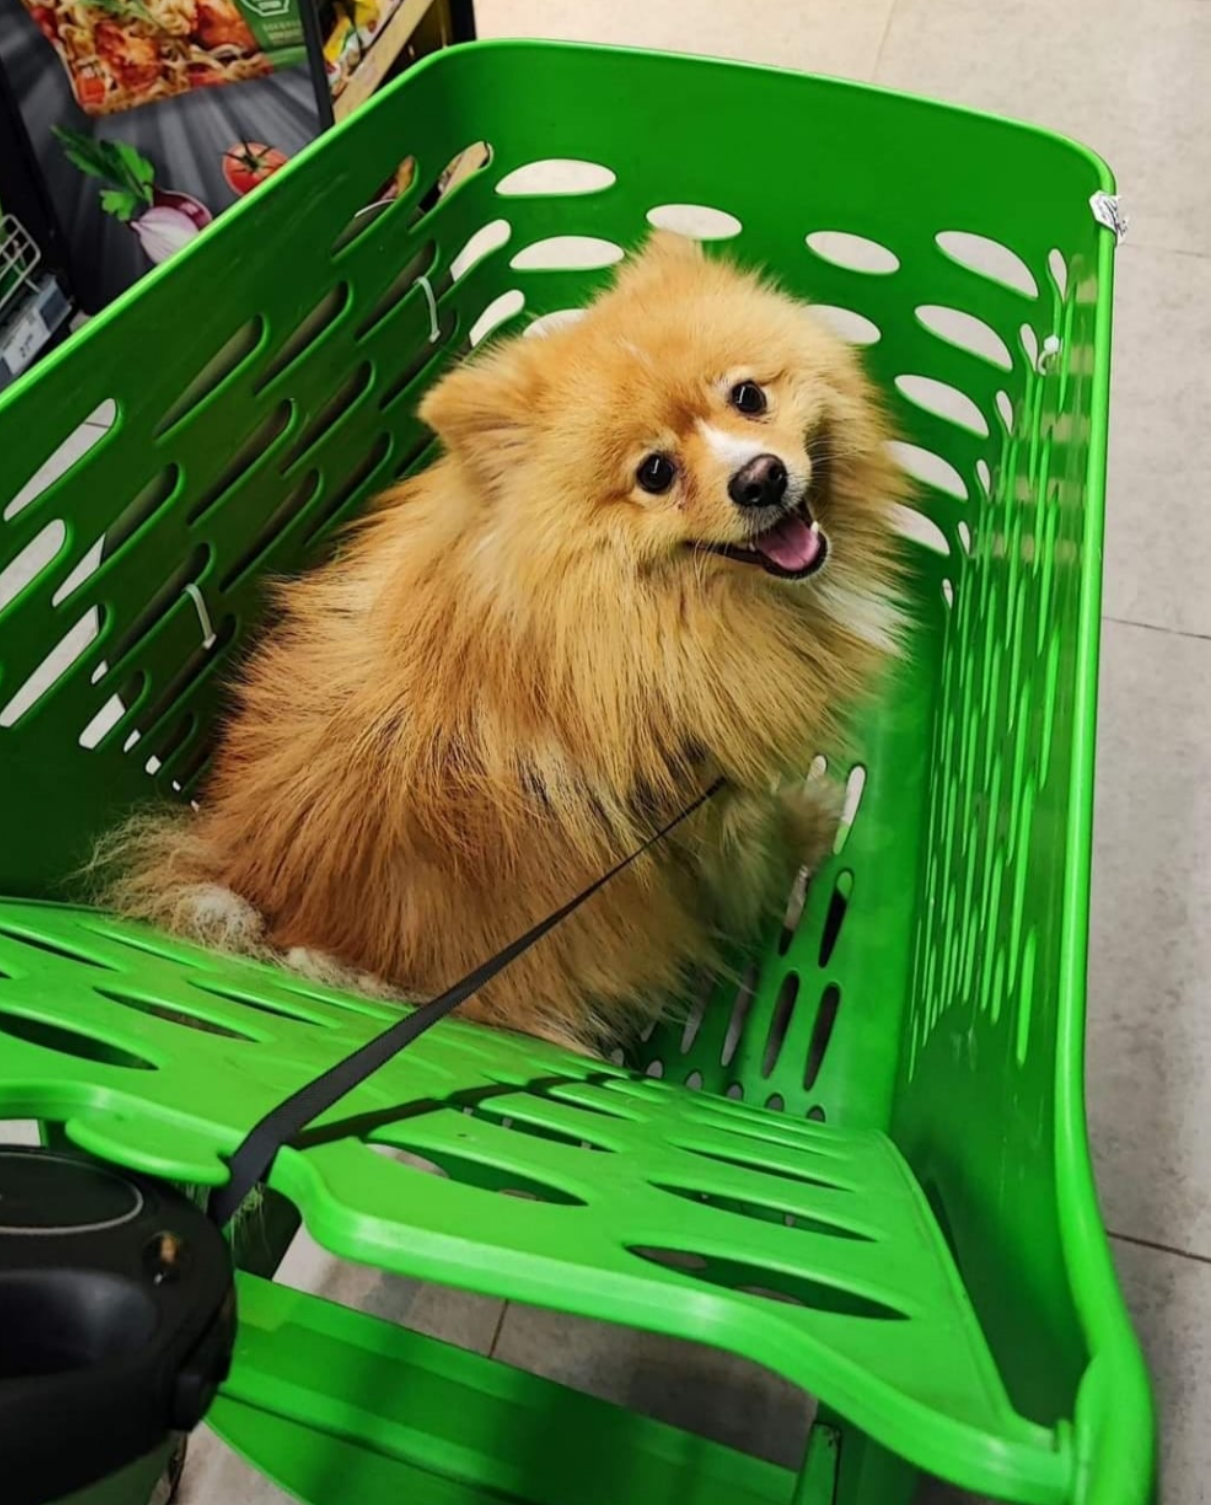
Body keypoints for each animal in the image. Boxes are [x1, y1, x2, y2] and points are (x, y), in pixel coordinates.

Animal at [99, 237, 902, 1059]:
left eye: (748, 396)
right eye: (654, 472)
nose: (760, 477)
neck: (637, 617)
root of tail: (260, 898)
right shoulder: (702, 811)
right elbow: (758, 850)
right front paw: (811, 825)